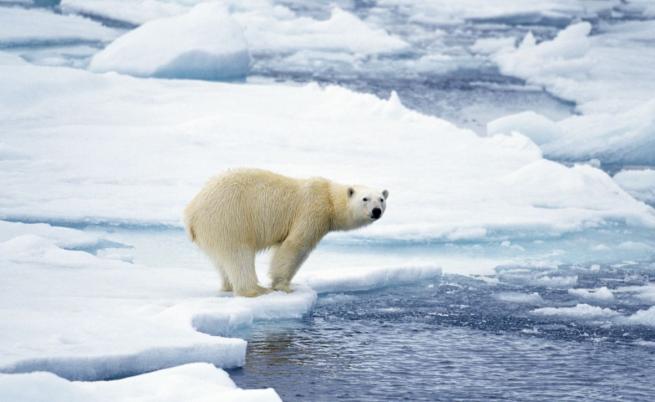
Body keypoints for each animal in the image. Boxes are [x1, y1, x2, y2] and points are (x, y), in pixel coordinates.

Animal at [183, 168, 390, 296]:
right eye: (365, 199)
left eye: (381, 199)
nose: (376, 211)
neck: (329, 198)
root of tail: (191, 212)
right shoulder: (311, 212)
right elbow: (295, 246)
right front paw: (284, 286)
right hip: (229, 218)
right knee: (238, 255)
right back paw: (255, 289)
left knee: (221, 260)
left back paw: (227, 286)